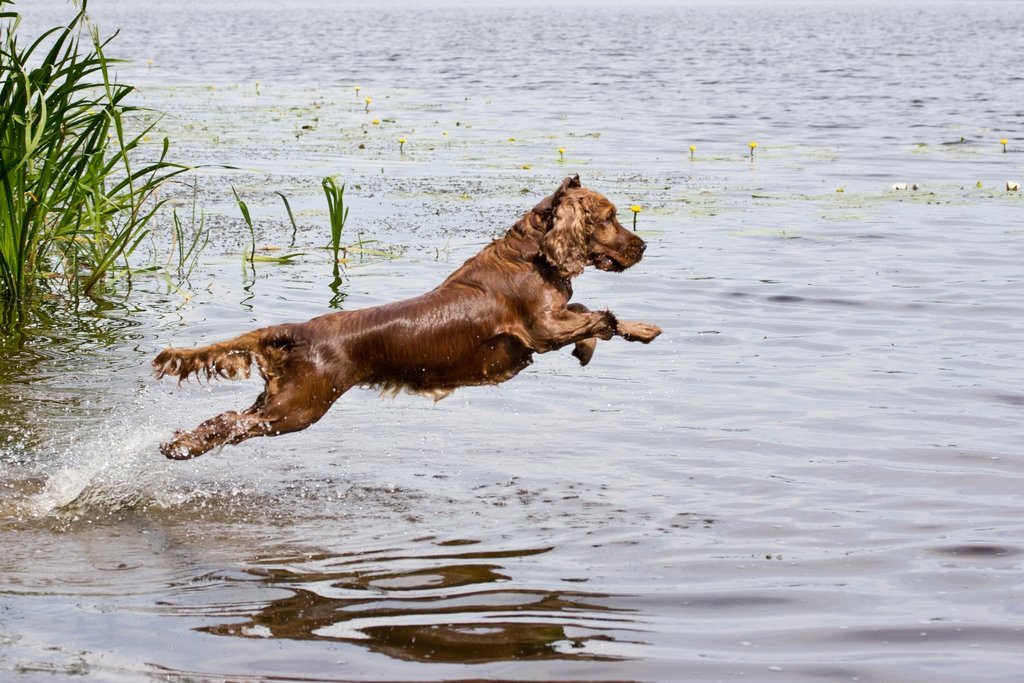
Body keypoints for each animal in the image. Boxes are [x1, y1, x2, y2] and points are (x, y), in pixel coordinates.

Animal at [153, 176, 663, 458]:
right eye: (610, 217)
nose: (642, 247)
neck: (532, 256)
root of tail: (297, 329)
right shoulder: (539, 329)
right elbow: (600, 314)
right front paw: (619, 334)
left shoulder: (554, 319)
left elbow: (592, 315)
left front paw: (626, 336)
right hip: (297, 407)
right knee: (230, 423)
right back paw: (177, 448)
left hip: (278, 400)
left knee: (229, 420)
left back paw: (177, 445)